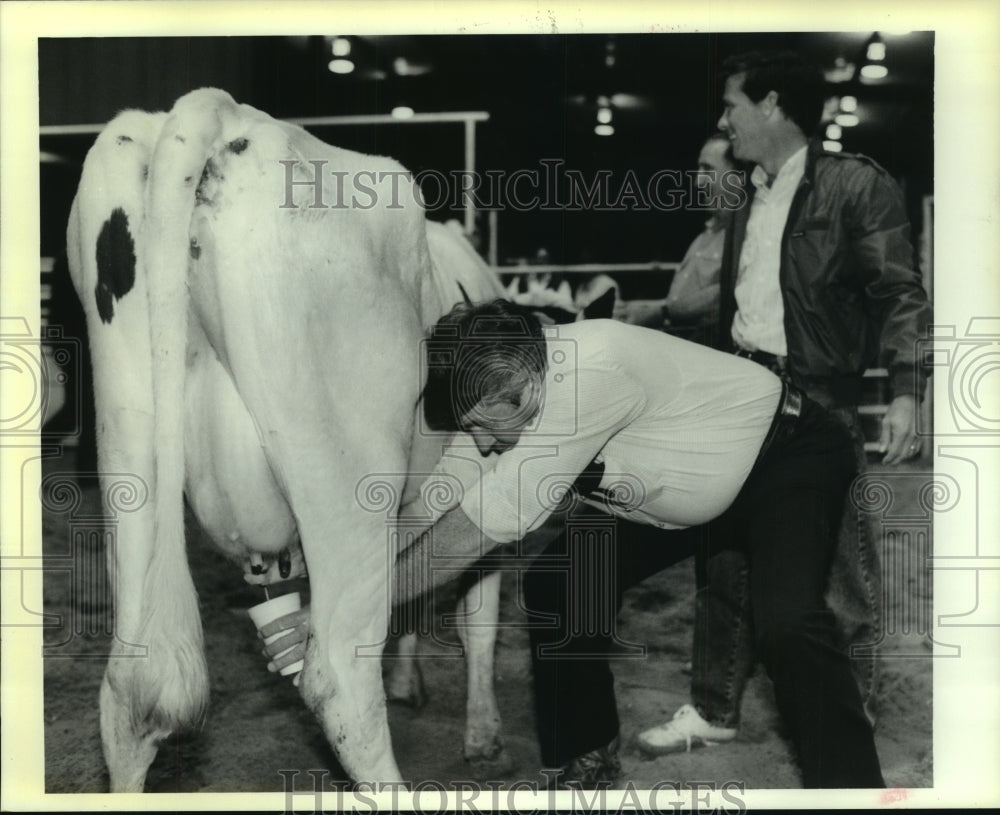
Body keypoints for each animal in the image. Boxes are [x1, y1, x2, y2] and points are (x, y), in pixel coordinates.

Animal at [64, 87, 508, 792]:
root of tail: (225, 111)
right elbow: (480, 617)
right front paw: (484, 734)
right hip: (346, 479)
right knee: (339, 682)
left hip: (128, 446)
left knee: (128, 696)